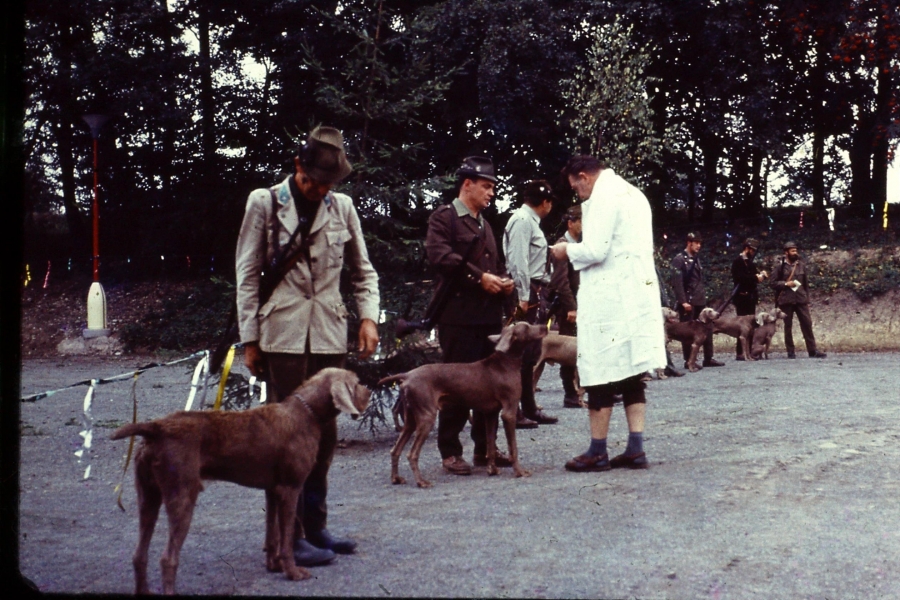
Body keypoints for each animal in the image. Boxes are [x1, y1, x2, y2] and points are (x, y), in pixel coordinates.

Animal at [110, 368, 370, 595]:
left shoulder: (272, 490)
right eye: (357, 382)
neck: (306, 412)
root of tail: (156, 427)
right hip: (182, 495)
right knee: (168, 559)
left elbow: (272, 533)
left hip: (148, 496)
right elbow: (286, 538)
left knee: (139, 555)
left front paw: (274, 565)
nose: (370, 391)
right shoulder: (290, 489)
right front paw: (292, 571)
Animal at [378, 322, 547, 488]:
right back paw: (421, 481)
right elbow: (513, 448)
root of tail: (407, 374)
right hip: (426, 417)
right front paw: (519, 471)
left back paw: (396, 478)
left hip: (411, 419)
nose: (545, 327)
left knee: (395, 450)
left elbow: (490, 446)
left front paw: (492, 469)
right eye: (526, 327)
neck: (506, 362)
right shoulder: (509, 413)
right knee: (412, 454)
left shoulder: (490, 414)